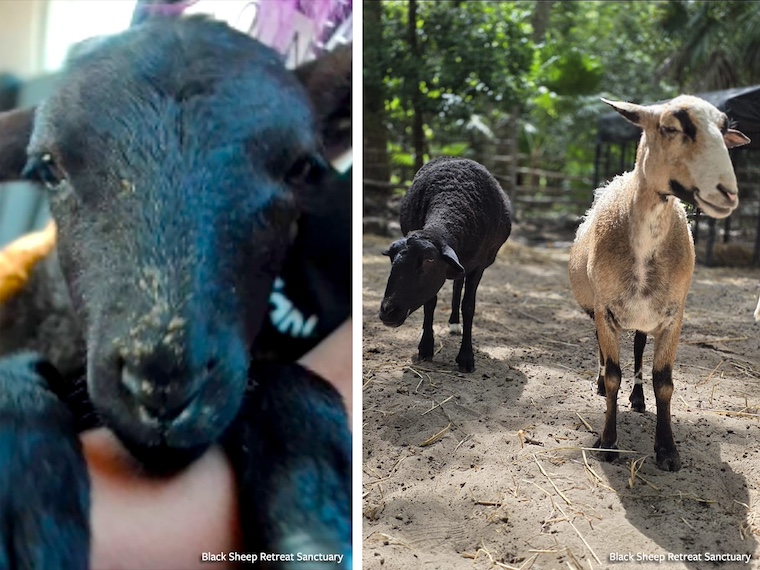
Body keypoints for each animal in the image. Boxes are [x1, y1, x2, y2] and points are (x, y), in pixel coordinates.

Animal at [379, 157, 512, 373]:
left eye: (429, 260)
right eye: (392, 259)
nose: (387, 311)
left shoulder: (478, 266)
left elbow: (469, 306)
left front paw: (466, 358)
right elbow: (430, 303)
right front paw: (426, 346)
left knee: (458, 286)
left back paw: (455, 324)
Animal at [569, 95, 749, 471]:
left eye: (723, 131)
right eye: (670, 127)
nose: (727, 192)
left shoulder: (672, 317)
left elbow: (663, 382)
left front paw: (667, 449)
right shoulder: (606, 311)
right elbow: (613, 375)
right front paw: (608, 442)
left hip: (642, 317)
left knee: (638, 349)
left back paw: (638, 399)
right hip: (598, 310)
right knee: (603, 351)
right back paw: (602, 384)